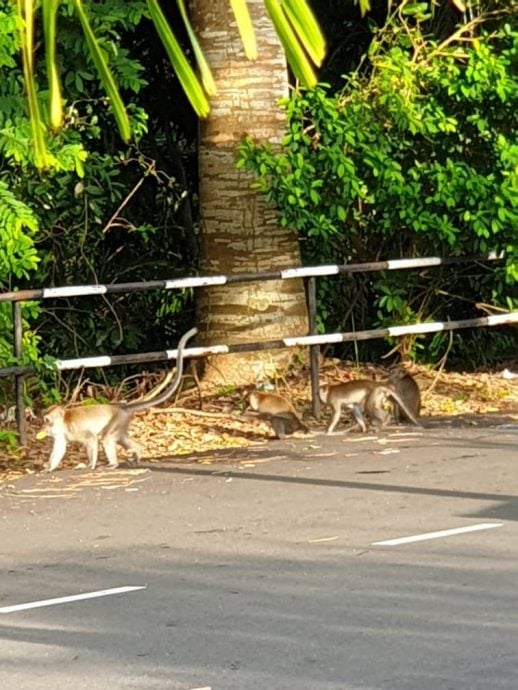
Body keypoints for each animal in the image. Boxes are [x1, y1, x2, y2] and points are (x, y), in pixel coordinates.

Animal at [37, 326, 198, 470]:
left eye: (47, 420)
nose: (43, 427)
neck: (62, 423)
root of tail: (121, 407)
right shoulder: (60, 434)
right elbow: (60, 448)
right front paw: (48, 469)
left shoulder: (75, 428)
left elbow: (91, 438)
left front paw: (90, 465)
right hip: (122, 422)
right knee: (121, 438)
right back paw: (138, 452)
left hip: (116, 420)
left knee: (107, 437)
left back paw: (113, 464)